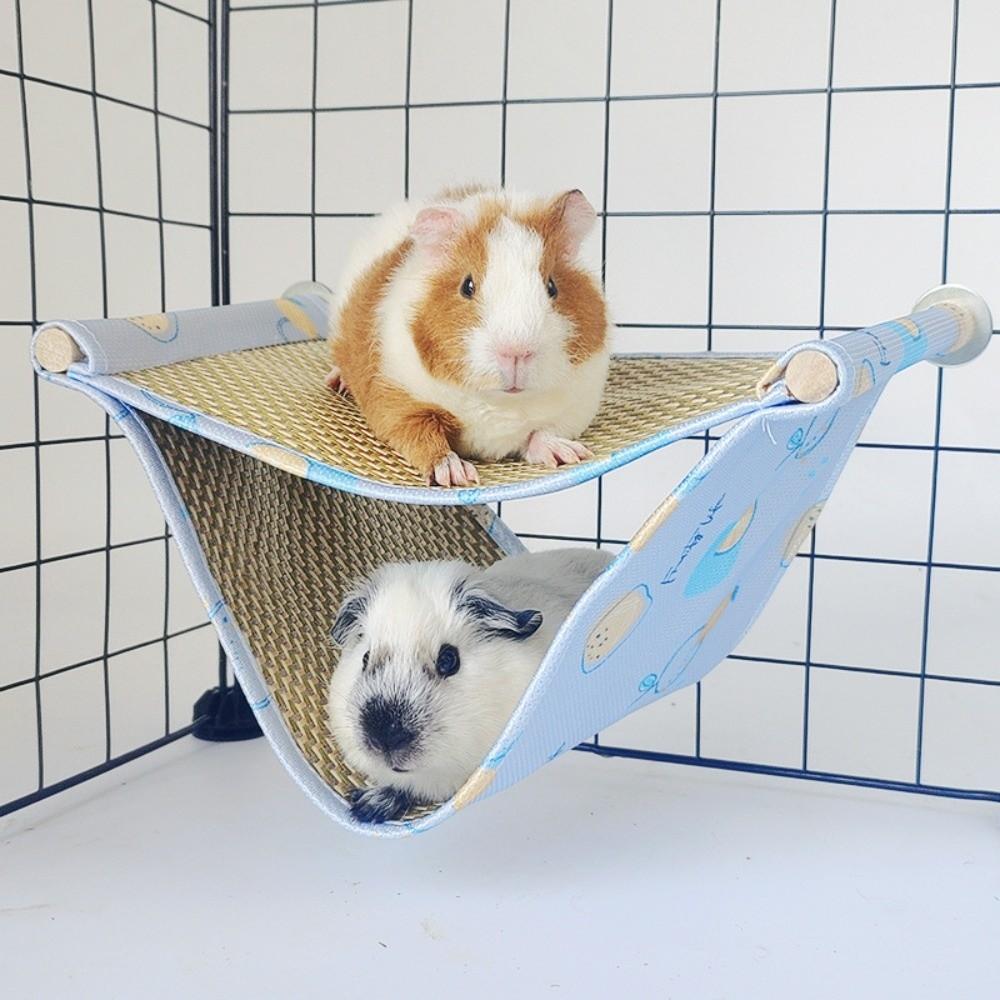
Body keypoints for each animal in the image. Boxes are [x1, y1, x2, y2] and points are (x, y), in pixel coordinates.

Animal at [325, 185, 612, 487]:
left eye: (552, 286)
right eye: (467, 286)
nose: (516, 353)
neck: (500, 403)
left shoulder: (573, 410)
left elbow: (541, 433)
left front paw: (571, 455)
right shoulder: (398, 400)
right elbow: (423, 439)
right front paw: (458, 477)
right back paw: (337, 383)